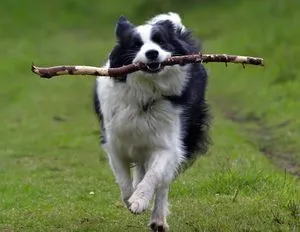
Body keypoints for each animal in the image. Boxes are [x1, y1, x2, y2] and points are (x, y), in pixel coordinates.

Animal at [93, 13, 209, 232]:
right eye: (136, 45)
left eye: (160, 41)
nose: (152, 53)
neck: (146, 93)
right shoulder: (114, 143)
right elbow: (124, 181)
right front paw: (130, 198)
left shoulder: (167, 144)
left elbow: (154, 175)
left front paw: (140, 200)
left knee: (163, 183)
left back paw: (158, 219)